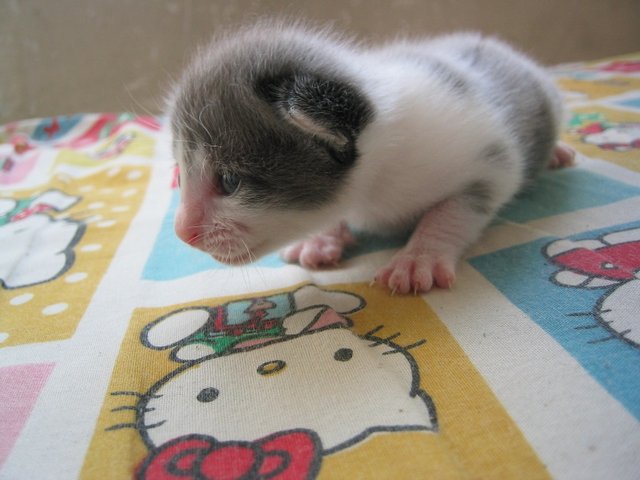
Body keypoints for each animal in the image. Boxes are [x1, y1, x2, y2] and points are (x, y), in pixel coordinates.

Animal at [169, 20, 574, 294]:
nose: (182, 233)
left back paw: (558, 152)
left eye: (229, 182)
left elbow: (453, 210)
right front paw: (321, 239)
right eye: (180, 172)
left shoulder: (493, 159)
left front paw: (419, 257)